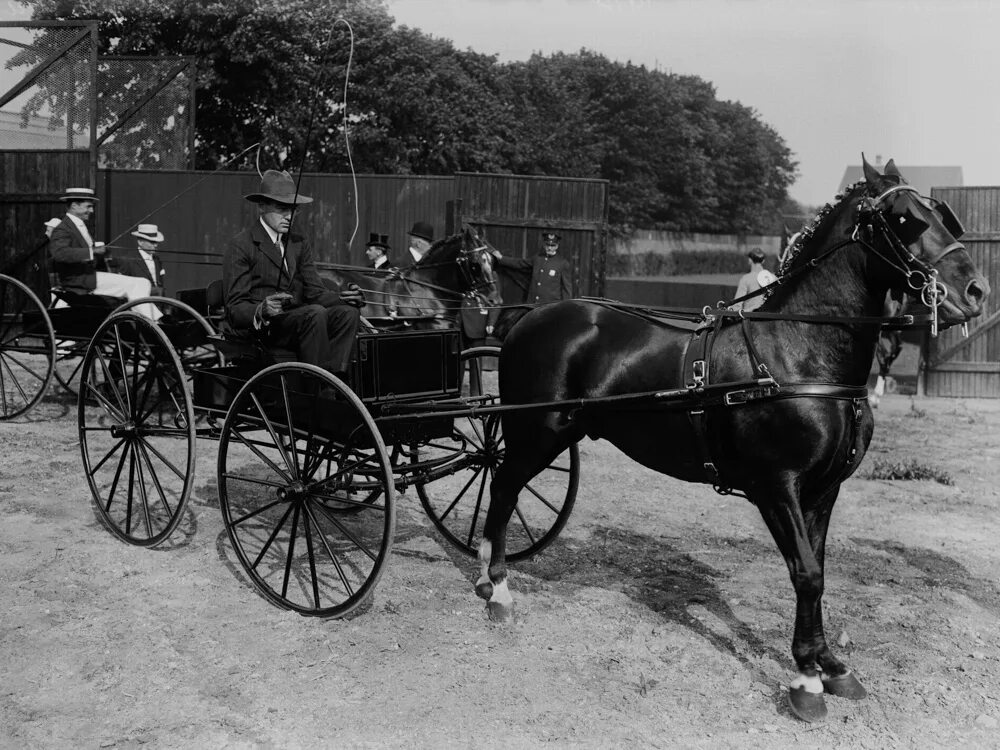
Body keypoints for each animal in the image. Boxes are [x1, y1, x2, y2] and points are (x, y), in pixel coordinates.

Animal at [480, 160, 988, 724]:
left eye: (939, 213)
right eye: (904, 219)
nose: (975, 290)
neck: (798, 353)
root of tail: (530, 317)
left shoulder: (823, 490)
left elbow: (819, 569)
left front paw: (831, 665)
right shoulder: (777, 486)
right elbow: (805, 572)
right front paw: (806, 680)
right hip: (537, 435)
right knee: (502, 489)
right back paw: (497, 589)